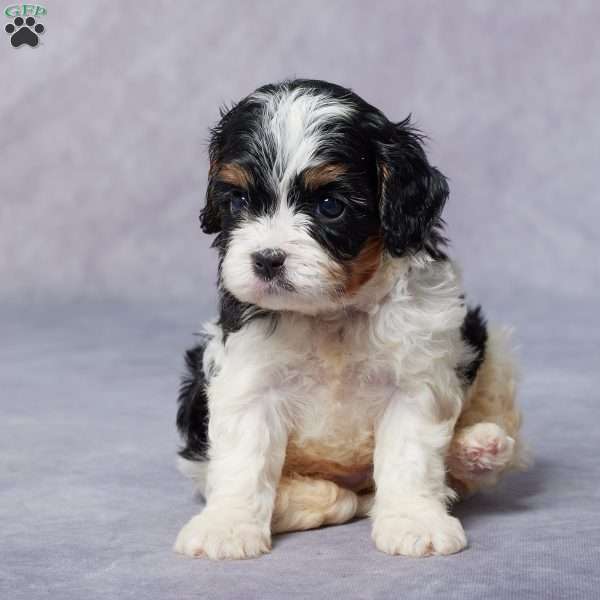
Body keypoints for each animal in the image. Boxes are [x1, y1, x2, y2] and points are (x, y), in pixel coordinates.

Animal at [175, 78, 524, 556]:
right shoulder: (247, 378)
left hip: (489, 354)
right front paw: (227, 526)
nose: (266, 259)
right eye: (238, 200)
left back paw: (478, 448)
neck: (331, 313)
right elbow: (243, 461)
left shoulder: (416, 379)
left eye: (329, 205)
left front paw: (413, 521)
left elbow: (411, 457)